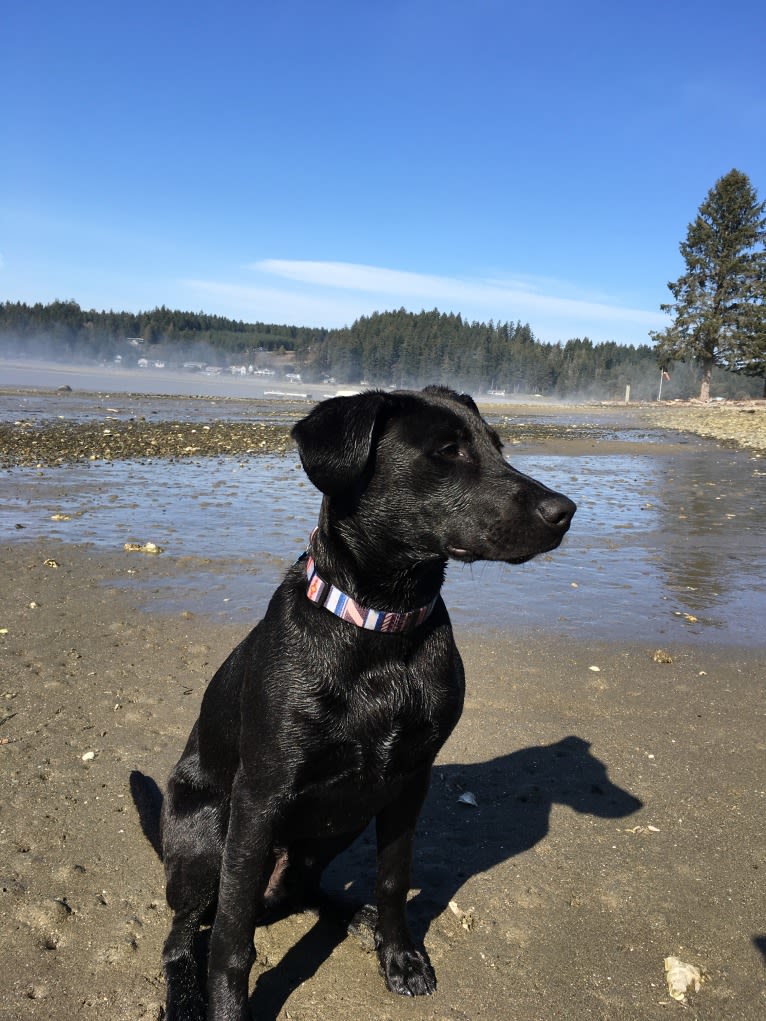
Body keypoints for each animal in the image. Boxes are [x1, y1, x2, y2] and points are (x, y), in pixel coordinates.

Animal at [160, 385, 576, 1016]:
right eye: (448, 451)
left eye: (498, 446)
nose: (566, 511)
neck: (383, 629)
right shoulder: (259, 798)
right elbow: (231, 939)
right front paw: (228, 1009)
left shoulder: (407, 781)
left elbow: (393, 879)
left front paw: (399, 954)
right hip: (207, 832)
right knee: (185, 931)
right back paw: (184, 991)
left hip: (342, 821)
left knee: (303, 891)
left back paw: (358, 918)